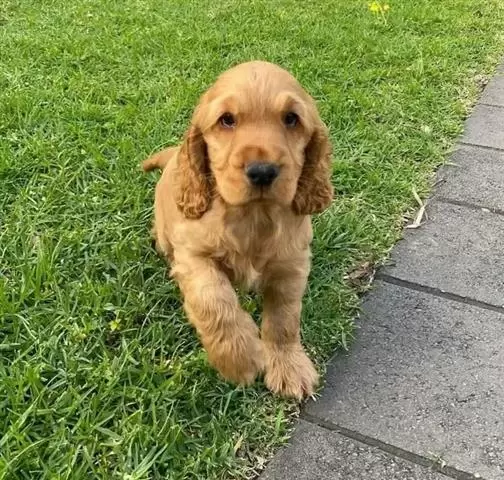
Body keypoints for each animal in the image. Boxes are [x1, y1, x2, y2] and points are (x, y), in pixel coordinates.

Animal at [144, 60, 334, 400]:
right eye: (227, 120)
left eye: (291, 119)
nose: (262, 171)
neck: (253, 217)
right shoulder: (193, 256)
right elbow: (214, 301)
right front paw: (239, 358)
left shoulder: (292, 264)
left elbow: (284, 318)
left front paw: (289, 367)